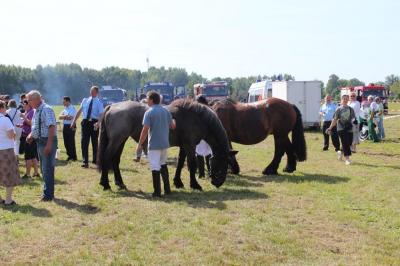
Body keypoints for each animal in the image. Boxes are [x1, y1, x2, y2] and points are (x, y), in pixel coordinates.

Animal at [96, 100, 231, 191]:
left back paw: (119, 183)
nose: (218, 183)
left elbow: (180, 163)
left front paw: (178, 182)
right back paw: (106, 184)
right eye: (223, 162)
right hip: (117, 140)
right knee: (106, 157)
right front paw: (195, 185)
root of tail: (112, 106)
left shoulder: (184, 146)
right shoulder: (190, 145)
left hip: (121, 140)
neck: (196, 118)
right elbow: (192, 164)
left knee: (115, 159)